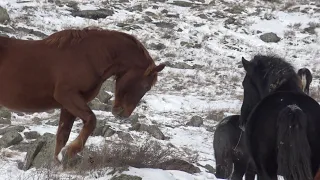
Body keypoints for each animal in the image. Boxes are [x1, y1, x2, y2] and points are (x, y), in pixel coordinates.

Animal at [0, 27, 166, 162]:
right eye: (146, 86)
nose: (124, 113)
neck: (88, 57)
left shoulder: (68, 106)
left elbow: (63, 135)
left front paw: (59, 162)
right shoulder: (67, 96)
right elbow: (91, 120)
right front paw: (71, 151)